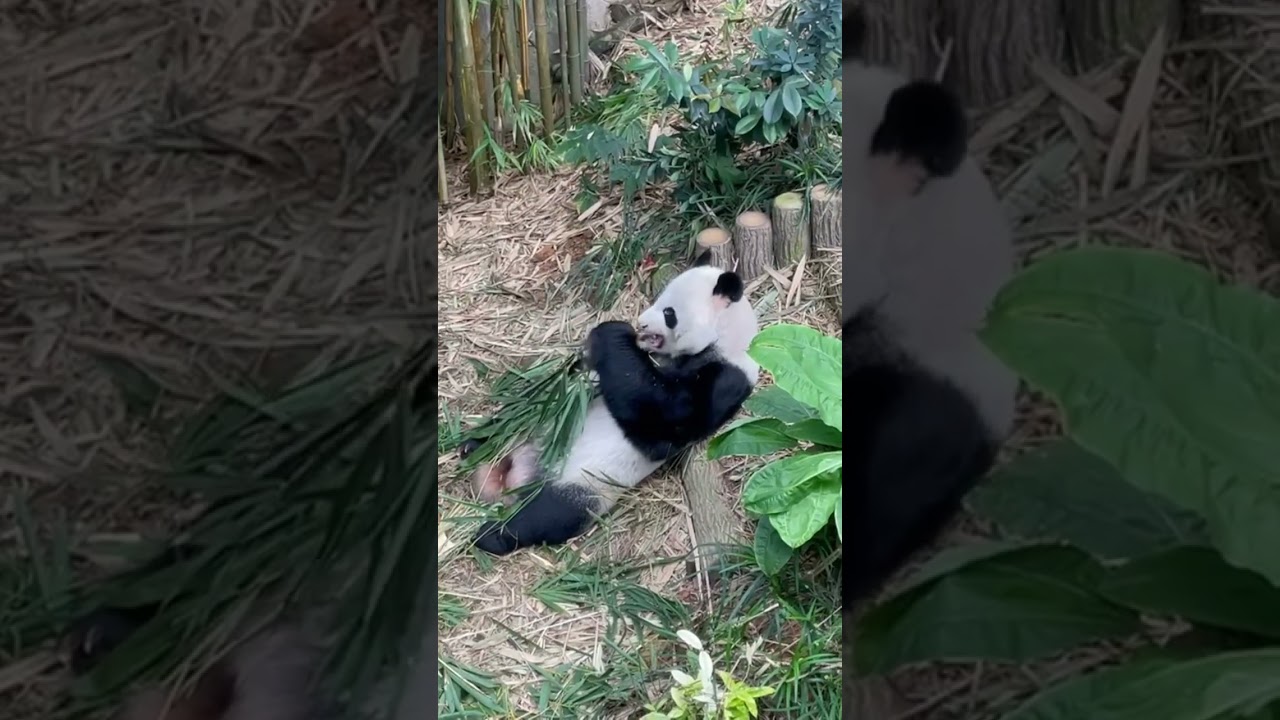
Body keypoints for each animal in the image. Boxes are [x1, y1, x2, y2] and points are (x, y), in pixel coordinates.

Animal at [467, 254, 760, 555]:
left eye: (669, 313)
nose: (641, 324)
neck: (728, 336)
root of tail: (521, 475)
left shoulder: (725, 378)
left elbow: (665, 417)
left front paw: (613, 332)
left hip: (585, 484)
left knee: (550, 515)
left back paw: (492, 534)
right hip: (531, 431)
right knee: (512, 424)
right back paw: (476, 444)